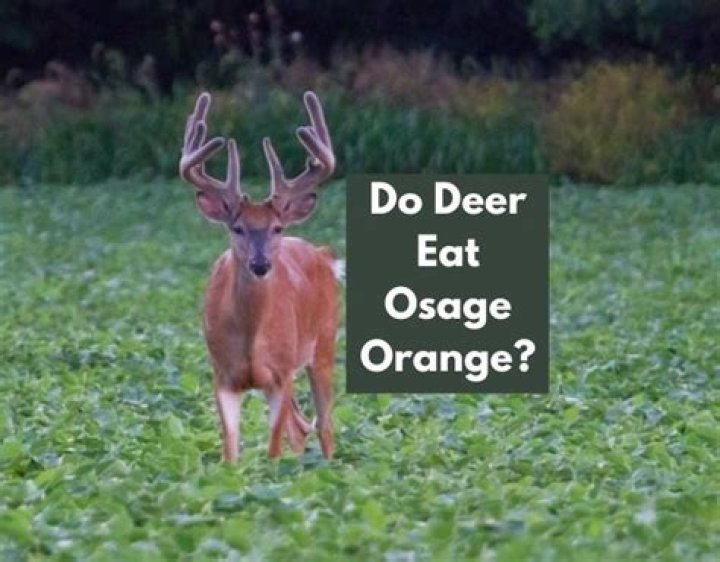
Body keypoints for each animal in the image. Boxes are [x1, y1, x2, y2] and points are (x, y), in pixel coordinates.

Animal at [178, 91, 337, 461]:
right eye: (237, 228)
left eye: (277, 227)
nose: (261, 264)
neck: (251, 337)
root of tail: (323, 254)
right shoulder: (222, 374)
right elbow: (230, 450)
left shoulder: (280, 373)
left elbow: (273, 448)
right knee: (301, 426)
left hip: (324, 345)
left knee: (323, 426)